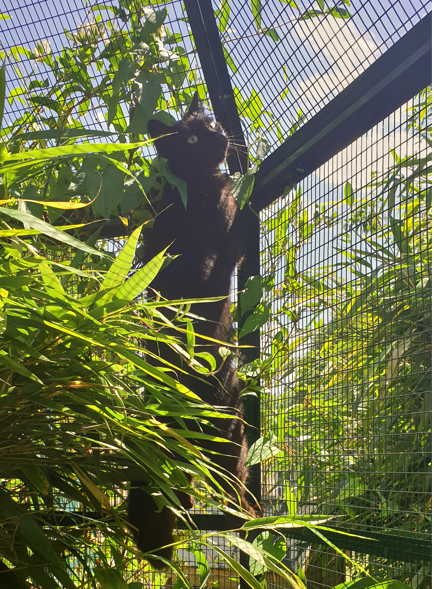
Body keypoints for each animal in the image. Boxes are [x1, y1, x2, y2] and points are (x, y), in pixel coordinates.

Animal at [125, 94, 256, 568]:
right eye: (193, 138)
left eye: (213, 123)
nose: (218, 137)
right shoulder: (215, 247)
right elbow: (231, 242)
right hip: (229, 438)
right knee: (233, 487)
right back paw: (248, 516)